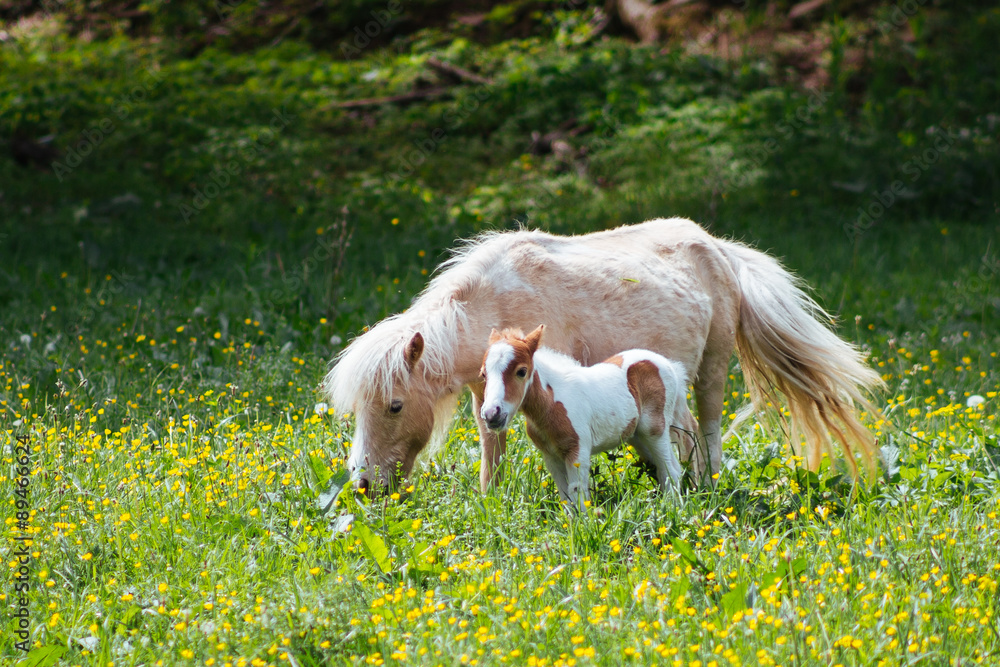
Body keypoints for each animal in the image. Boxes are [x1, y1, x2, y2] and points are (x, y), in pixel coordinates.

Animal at [479, 325, 688, 504]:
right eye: (483, 375)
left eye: (521, 371)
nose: (491, 414)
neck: (551, 404)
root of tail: (669, 365)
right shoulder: (551, 456)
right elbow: (565, 497)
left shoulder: (577, 451)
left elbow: (577, 494)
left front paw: (584, 524)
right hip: (636, 436)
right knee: (672, 467)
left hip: (654, 429)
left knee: (669, 470)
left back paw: (672, 509)